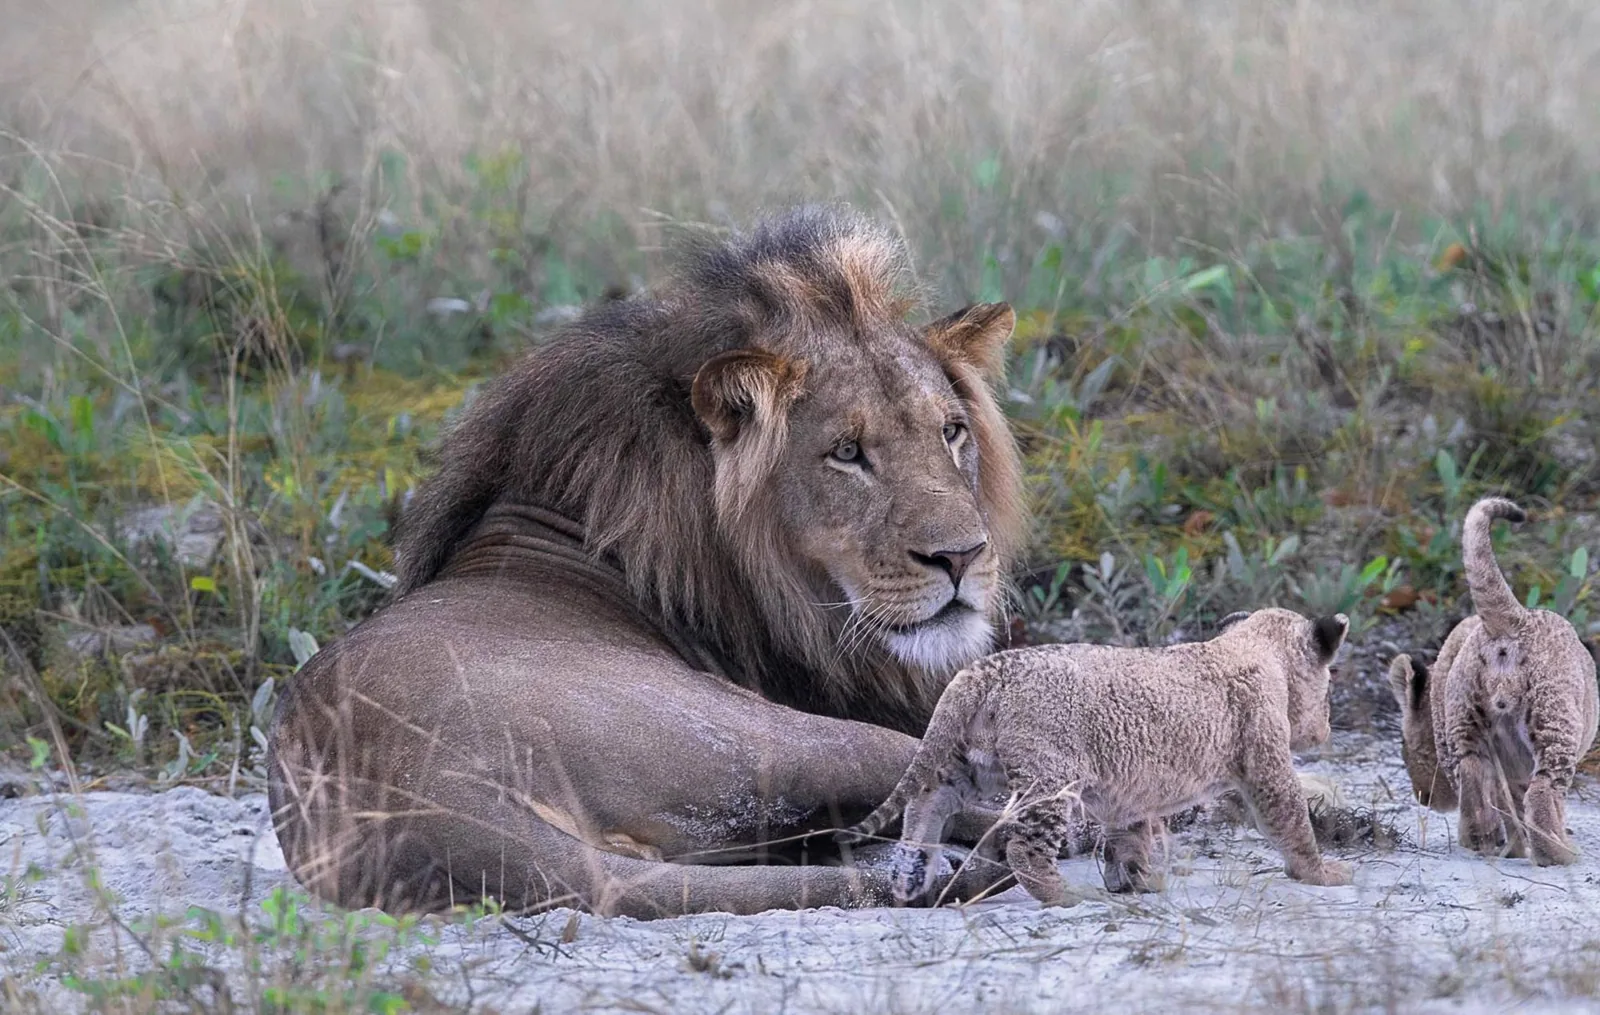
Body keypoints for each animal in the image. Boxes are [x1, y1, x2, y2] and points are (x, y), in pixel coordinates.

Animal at [840, 608, 1353, 906]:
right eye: (1330, 683)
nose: (1328, 727)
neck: (1254, 647)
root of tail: (985, 667)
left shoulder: (1131, 792)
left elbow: (1127, 839)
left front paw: (1135, 883)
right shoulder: (1265, 763)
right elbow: (1291, 819)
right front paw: (1320, 873)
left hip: (968, 764)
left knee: (925, 803)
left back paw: (910, 878)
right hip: (1051, 776)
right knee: (1022, 847)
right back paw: (1064, 895)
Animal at [1387, 497, 1598, 865]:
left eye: (1402, 745)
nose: (1423, 797)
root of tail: (1515, 618)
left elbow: (1504, 803)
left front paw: (1508, 846)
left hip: (1469, 727)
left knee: (1475, 773)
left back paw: (1483, 838)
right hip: (1554, 722)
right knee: (1543, 791)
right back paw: (1560, 854)